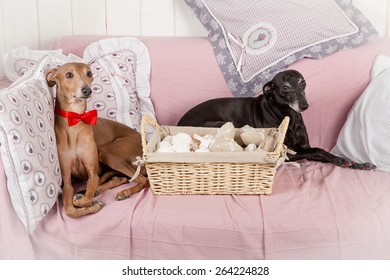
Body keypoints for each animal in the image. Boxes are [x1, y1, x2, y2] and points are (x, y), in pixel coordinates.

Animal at [46, 62, 149, 218]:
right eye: (69, 74)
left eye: (89, 73)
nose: (87, 91)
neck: (75, 120)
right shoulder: (67, 180)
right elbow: (70, 210)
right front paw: (88, 201)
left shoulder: (93, 174)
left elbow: (85, 200)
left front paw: (90, 202)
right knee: (121, 178)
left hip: (108, 153)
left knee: (144, 180)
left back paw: (123, 192)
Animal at [179, 69, 374, 171]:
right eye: (285, 88)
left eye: (303, 82)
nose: (304, 105)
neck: (290, 117)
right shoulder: (288, 154)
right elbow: (319, 150)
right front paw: (342, 161)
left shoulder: (304, 147)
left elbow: (322, 152)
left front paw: (356, 163)